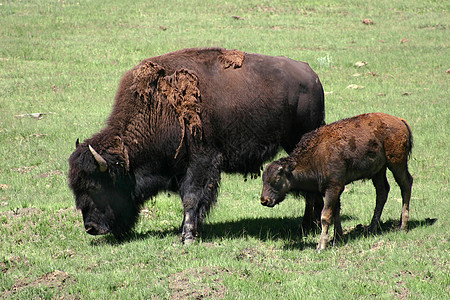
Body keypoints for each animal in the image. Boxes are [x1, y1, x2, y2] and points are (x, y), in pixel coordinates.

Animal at [67, 47, 324, 244]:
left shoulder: (201, 162)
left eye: (95, 187)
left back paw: (308, 226)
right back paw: (310, 224)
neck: (157, 110)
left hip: (298, 140)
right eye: (75, 189)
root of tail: (312, 75)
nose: (91, 228)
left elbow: (191, 198)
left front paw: (188, 236)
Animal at [258, 113, 414, 251]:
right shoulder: (336, 189)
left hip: (396, 163)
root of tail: (399, 121)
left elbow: (326, 215)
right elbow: (336, 212)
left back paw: (403, 226)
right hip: (378, 170)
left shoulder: (333, 187)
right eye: (263, 179)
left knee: (406, 184)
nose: (264, 200)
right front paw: (337, 238)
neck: (315, 155)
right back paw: (371, 228)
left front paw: (321, 246)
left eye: (276, 178)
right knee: (382, 192)